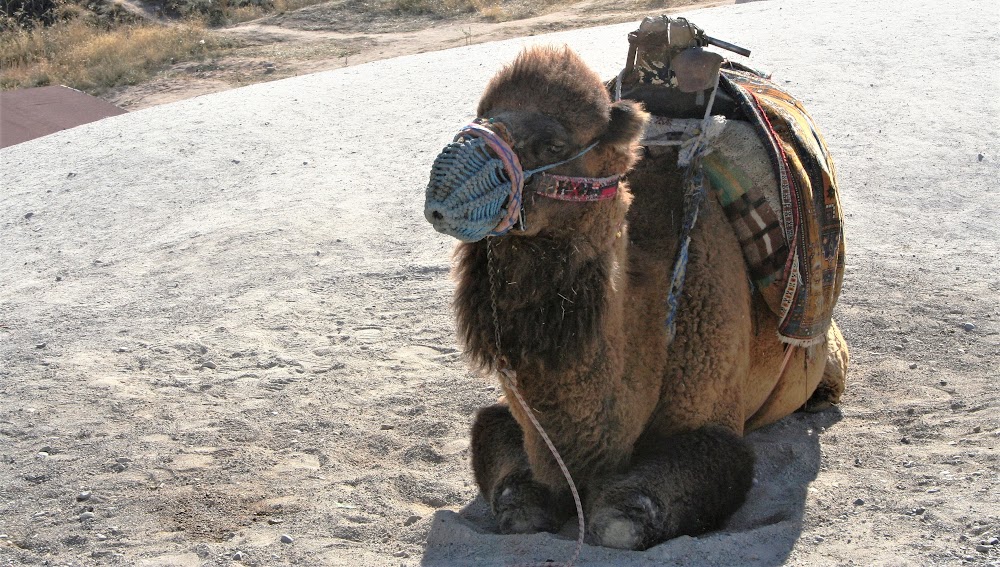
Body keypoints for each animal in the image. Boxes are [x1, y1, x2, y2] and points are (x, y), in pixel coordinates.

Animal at [426, 25, 848, 552]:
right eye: (481, 112)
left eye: (552, 143)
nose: (441, 190)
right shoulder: (515, 422)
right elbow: (516, 504)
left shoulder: (710, 417)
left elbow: (619, 523)